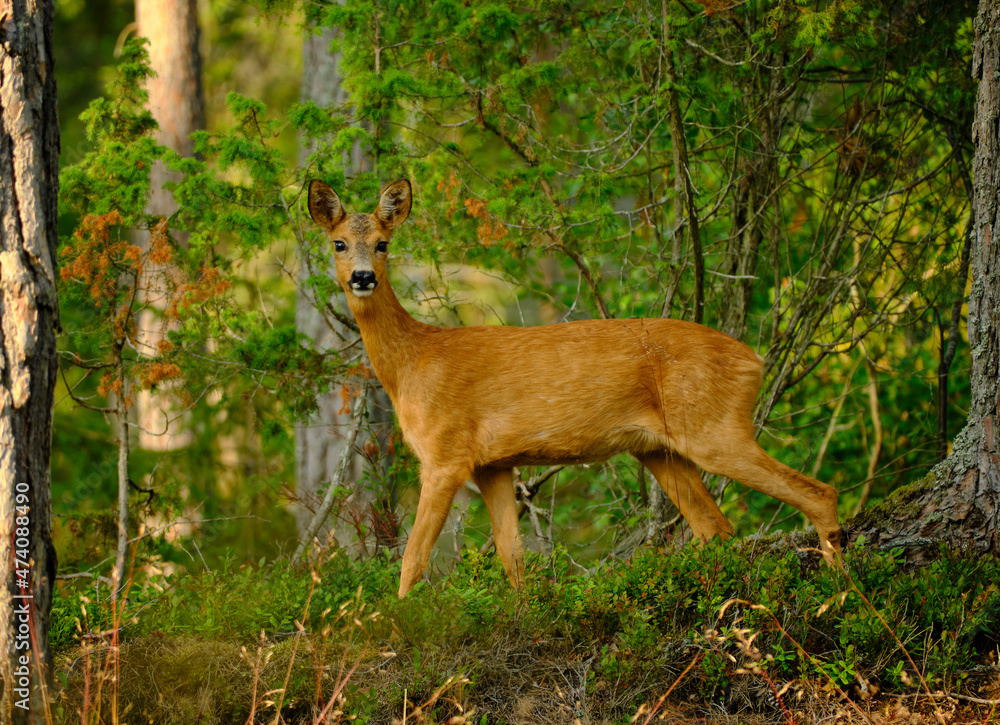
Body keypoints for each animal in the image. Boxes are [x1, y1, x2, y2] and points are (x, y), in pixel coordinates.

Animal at [307, 178, 842, 597]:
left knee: (819, 493)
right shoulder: (493, 465)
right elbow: (514, 562)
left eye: (382, 243)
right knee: (717, 529)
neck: (412, 362)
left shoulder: (445, 455)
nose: (362, 278)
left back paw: (842, 592)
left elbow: (411, 561)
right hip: (660, 449)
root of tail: (755, 360)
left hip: (714, 427)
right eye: (338, 243)